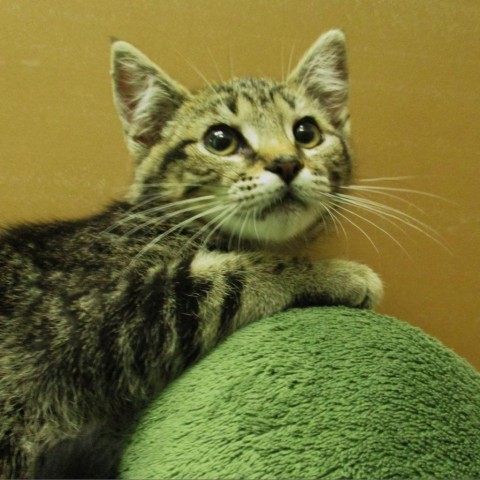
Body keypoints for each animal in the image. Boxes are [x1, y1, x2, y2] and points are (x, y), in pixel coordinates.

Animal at [0, 29, 382, 476]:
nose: (287, 163)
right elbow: (234, 275)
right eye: (220, 140)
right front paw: (336, 273)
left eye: (306, 133)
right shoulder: (98, 317)